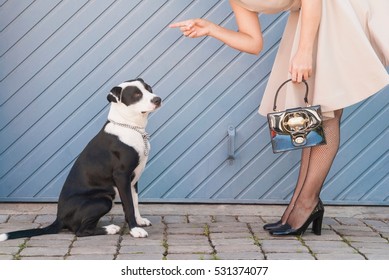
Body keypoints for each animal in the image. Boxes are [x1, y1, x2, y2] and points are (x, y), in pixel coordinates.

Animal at [0, 78, 161, 241]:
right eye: (136, 95)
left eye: (149, 88)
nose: (157, 99)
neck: (130, 127)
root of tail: (60, 218)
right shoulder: (122, 176)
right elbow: (128, 205)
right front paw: (135, 229)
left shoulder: (133, 179)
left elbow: (135, 202)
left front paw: (139, 221)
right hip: (103, 200)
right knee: (80, 231)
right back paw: (109, 228)